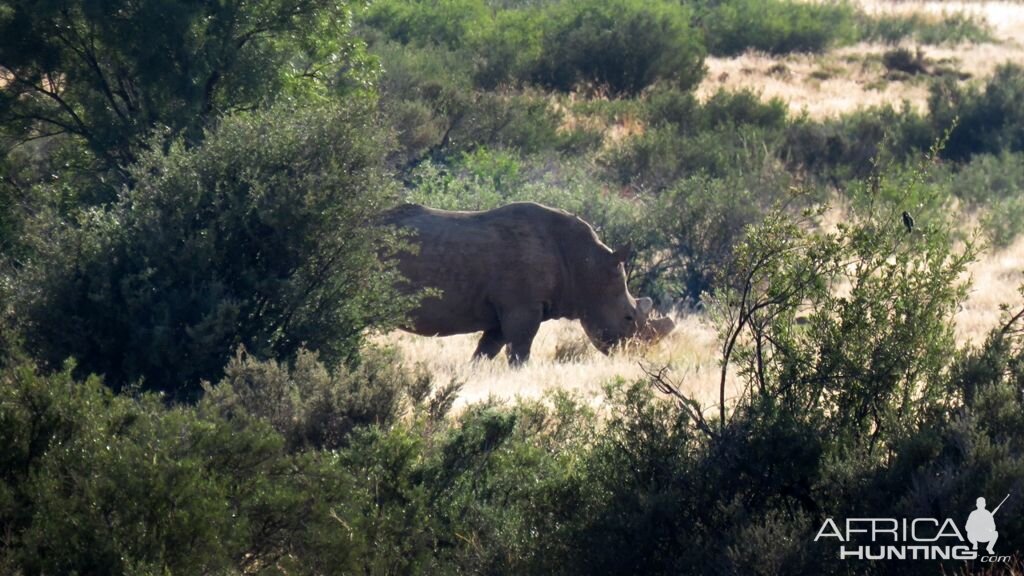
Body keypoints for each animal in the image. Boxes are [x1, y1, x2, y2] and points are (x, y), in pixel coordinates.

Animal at [385, 201, 671, 362]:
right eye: (628, 318)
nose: (638, 356)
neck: (586, 266)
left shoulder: (506, 311)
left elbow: (487, 350)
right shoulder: (521, 307)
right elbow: (520, 350)